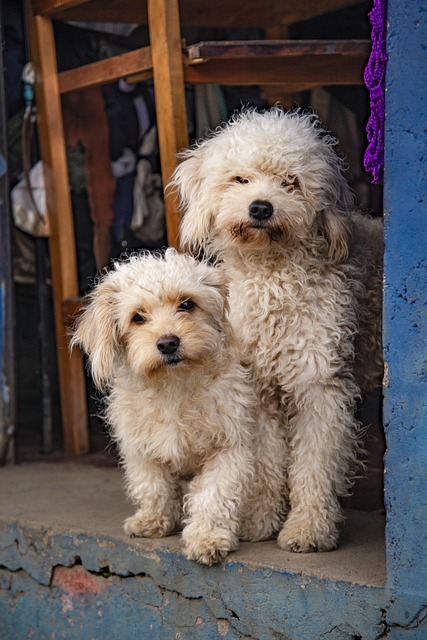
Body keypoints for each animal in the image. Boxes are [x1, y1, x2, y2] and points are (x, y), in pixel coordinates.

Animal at [71, 250, 288, 564]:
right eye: (137, 317)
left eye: (186, 304)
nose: (168, 343)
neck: (174, 385)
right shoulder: (140, 448)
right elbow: (154, 486)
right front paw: (154, 521)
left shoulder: (229, 447)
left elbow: (213, 496)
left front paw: (207, 538)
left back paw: (255, 524)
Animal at [171, 107, 384, 552]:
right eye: (240, 179)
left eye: (291, 181)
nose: (261, 208)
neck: (273, 274)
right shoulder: (259, 388)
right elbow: (267, 461)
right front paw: (258, 521)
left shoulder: (320, 385)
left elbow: (315, 465)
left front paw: (308, 529)